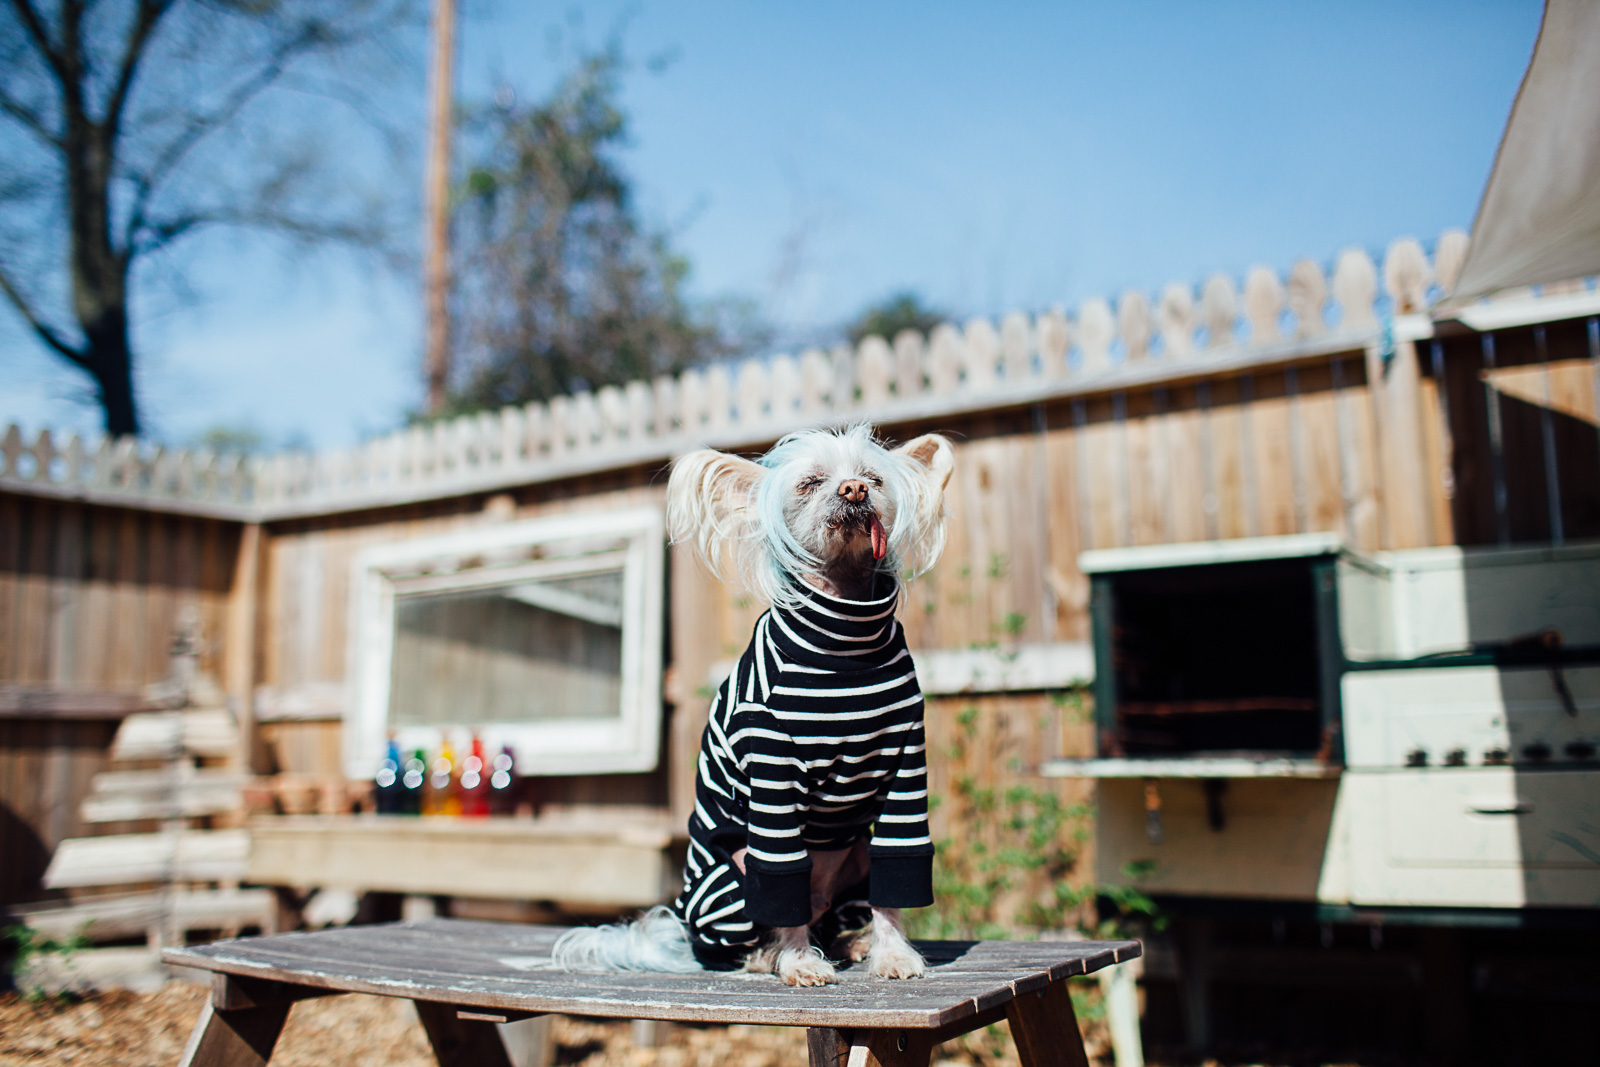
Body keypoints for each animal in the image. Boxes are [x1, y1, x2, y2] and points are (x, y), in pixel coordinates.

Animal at [553, 422, 947, 985]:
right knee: (761, 922)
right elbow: (783, 886)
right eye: (810, 483)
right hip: (731, 878)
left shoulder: (906, 765)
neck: (847, 637)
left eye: (872, 478)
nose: (853, 490)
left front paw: (892, 954)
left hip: (854, 860)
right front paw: (800, 963)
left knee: (836, 908)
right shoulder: (772, 772)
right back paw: (771, 956)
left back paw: (851, 943)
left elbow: (896, 878)